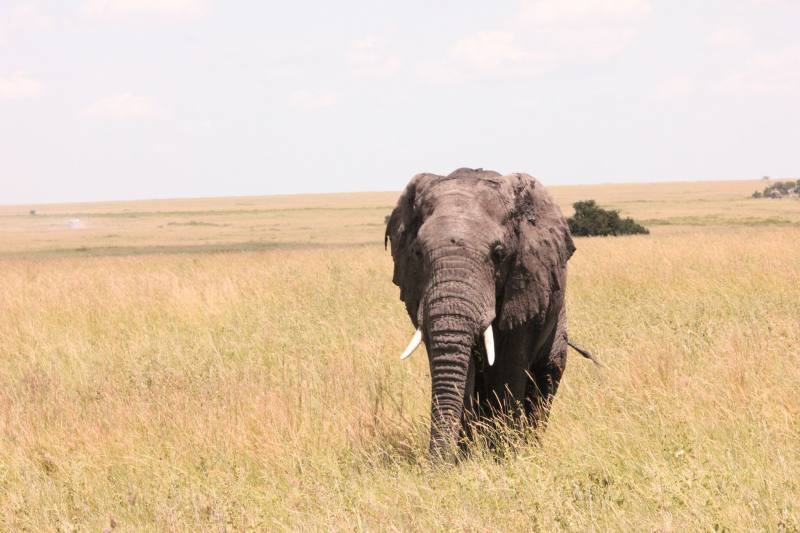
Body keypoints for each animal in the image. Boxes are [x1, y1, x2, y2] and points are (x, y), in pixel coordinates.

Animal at [386, 167, 580, 458]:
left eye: (499, 253)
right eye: (417, 253)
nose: (433, 463)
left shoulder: (524, 285)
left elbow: (508, 368)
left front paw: (506, 456)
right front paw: (465, 459)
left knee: (546, 377)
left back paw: (530, 445)